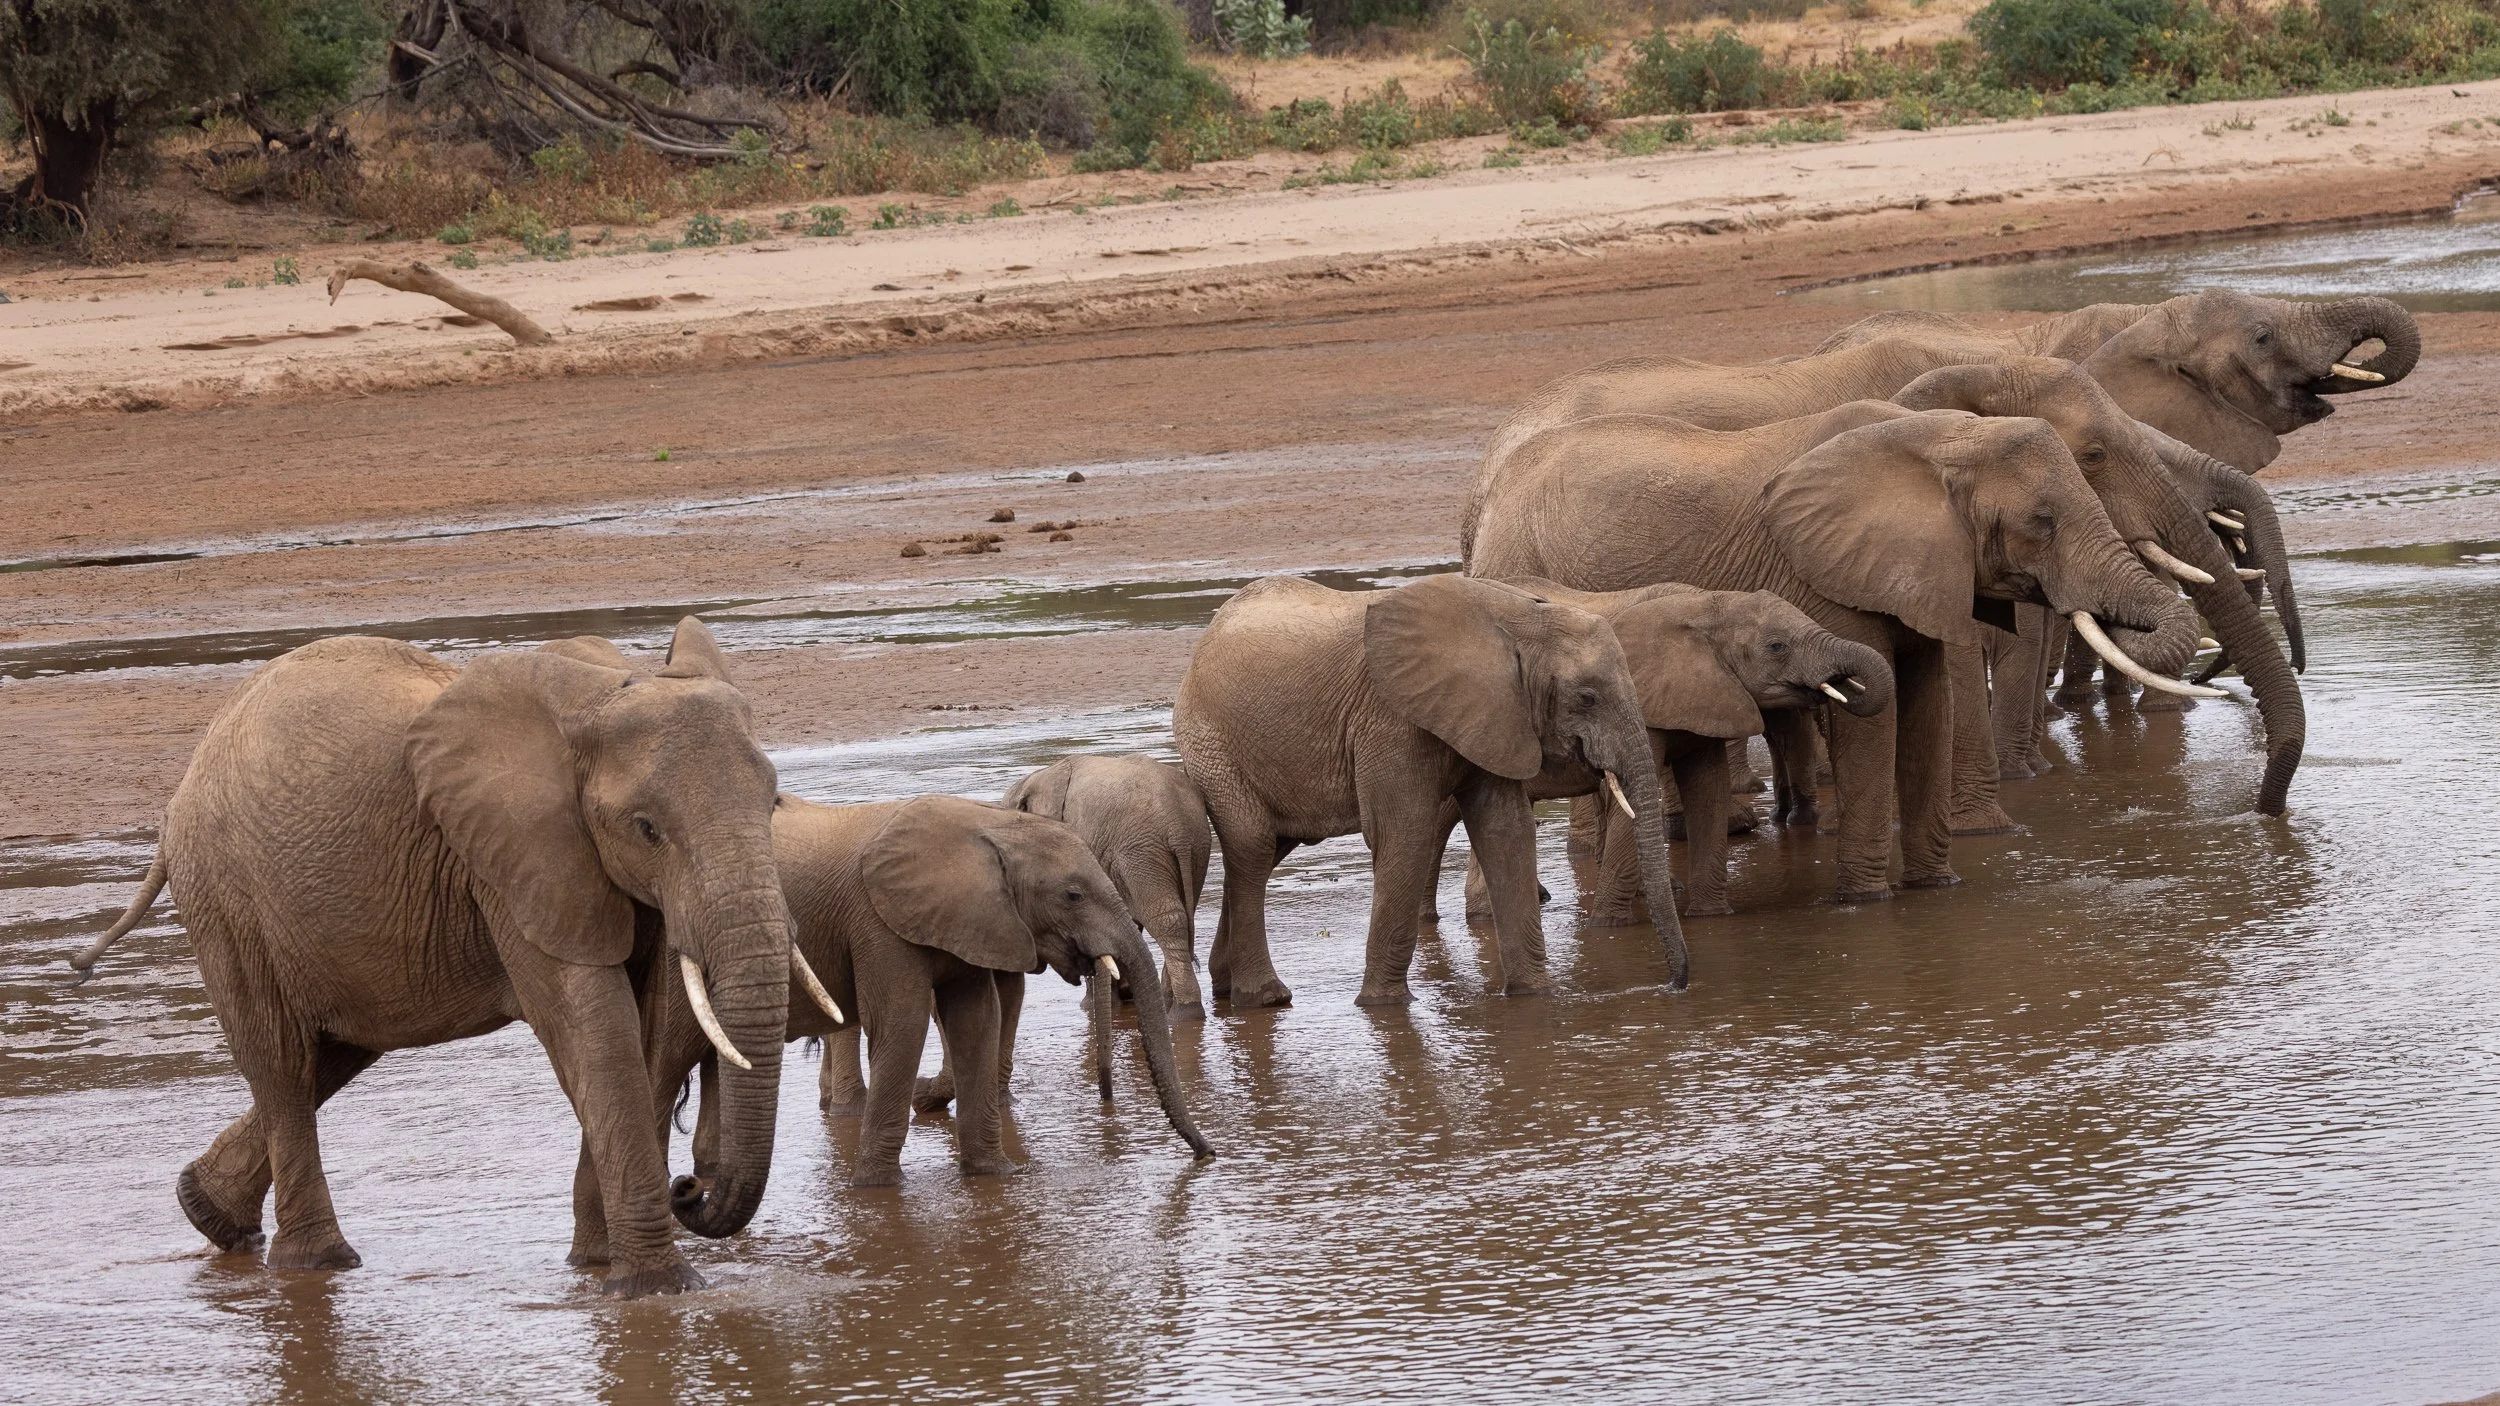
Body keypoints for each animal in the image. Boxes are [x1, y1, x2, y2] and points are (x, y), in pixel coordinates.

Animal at [66, 620, 795, 1298]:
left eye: (774, 803)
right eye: (647, 829)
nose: (689, 1188)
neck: (601, 692)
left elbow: (640, 1030)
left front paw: (592, 1269)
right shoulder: (508, 862)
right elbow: (593, 1030)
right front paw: (656, 1291)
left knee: (331, 1054)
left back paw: (209, 1213)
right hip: (227, 897)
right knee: (281, 1062)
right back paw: (318, 1265)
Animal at [720, 793, 1211, 1189]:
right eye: (1073, 895)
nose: (1208, 1154)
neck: (987, 827)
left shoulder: (971, 917)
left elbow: (977, 1021)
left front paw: (996, 1177)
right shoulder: (879, 925)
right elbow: (903, 1026)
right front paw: (878, 1189)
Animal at [1173, 572, 1688, 1008]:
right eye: (1588, 698)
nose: (1674, 984)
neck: (1519, 621)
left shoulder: (1498, 715)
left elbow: (1505, 831)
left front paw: (1535, 998)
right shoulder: (1391, 719)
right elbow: (1405, 833)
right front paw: (1383, 1007)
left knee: (1269, 850)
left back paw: (1229, 988)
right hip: (1211, 741)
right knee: (1253, 847)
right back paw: (1266, 998)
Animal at [1468, 406, 2208, 903]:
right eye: (2043, 521)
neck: (1939, 440)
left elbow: (1928, 704)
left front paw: (1938, 887)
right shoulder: (1822, 580)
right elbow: (1871, 721)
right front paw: (1866, 901)